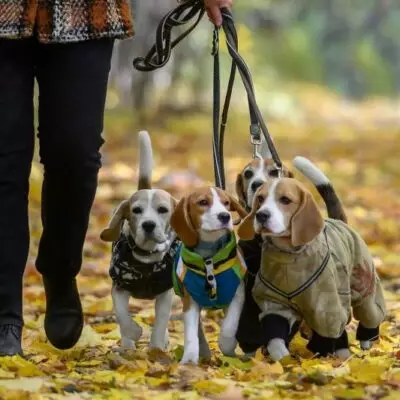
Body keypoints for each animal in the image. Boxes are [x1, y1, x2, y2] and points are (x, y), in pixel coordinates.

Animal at [171, 186, 248, 364]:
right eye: (203, 202)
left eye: (226, 203)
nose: (225, 216)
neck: (209, 259)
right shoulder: (190, 301)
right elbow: (191, 333)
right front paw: (189, 360)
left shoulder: (238, 294)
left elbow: (229, 326)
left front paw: (228, 346)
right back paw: (204, 351)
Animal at [239, 177, 386, 360]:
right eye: (260, 198)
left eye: (285, 200)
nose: (261, 215)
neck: (289, 258)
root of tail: (339, 222)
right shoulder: (274, 303)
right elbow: (276, 336)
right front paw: (283, 359)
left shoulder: (325, 309)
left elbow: (327, 333)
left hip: (365, 286)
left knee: (369, 312)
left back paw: (365, 342)